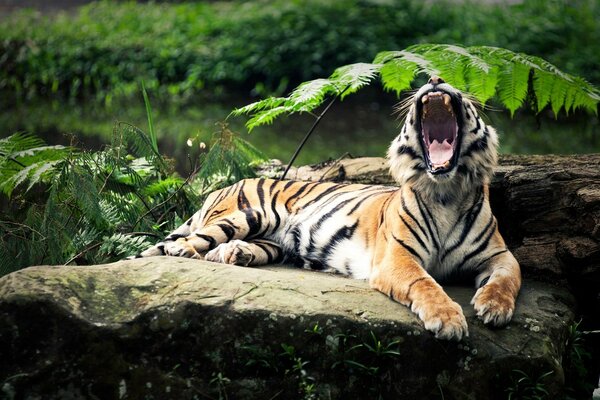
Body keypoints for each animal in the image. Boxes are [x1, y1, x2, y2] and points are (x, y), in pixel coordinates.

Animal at [136, 77, 520, 340]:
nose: (435, 79)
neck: (446, 191)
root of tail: (222, 187)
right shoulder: (397, 257)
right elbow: (424, 283)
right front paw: (449, 320)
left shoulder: (498, 254)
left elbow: (509, 278)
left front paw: (493, 307)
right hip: (249, 214)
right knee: (185, 243)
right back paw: (186, 250)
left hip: (271, 241)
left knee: (223, 249)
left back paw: (234, 254)